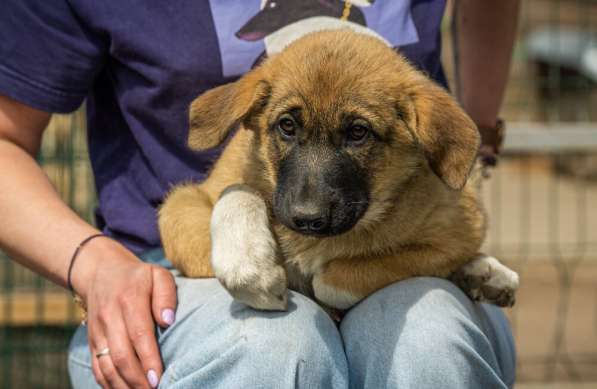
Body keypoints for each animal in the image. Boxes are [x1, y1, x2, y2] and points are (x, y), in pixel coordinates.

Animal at [158, 29, 516, 310]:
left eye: (358, 132)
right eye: (286, 126)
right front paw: (250, 266)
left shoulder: (459, 230)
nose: (307, 218)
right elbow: (234, 191)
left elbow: (331, 281)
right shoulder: (186, 202)